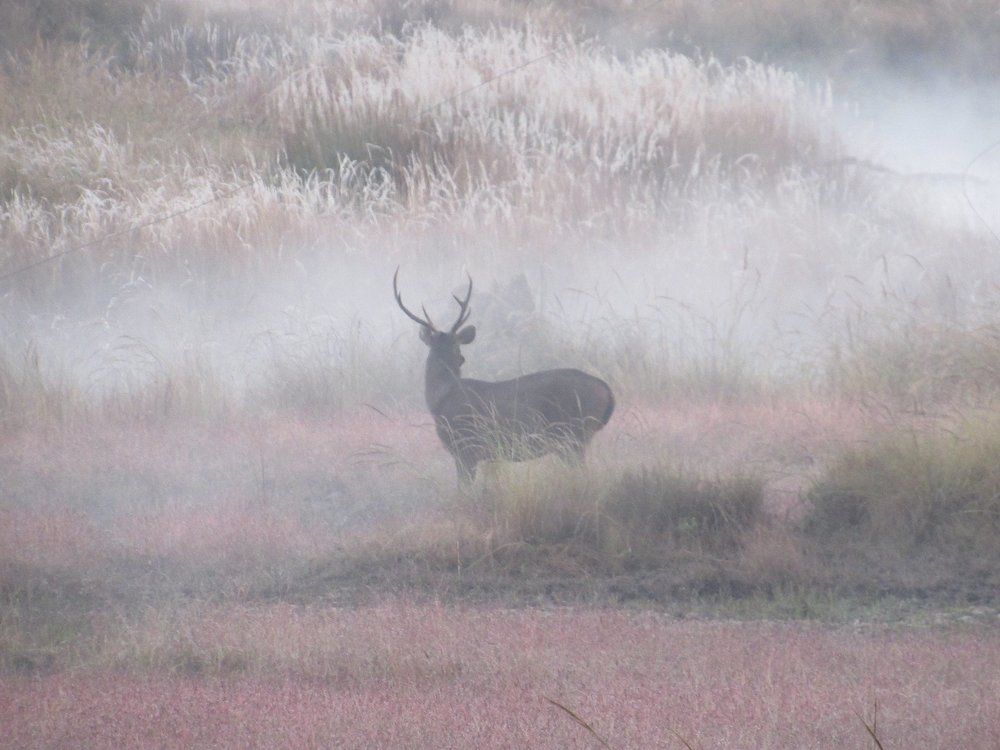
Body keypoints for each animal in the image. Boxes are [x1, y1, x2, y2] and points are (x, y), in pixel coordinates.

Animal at [393, 269, 615, 485]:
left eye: (456, 345)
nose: (461, 359)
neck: (441, 396)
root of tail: (605, 389)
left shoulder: (466, 447)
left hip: (573, 434)